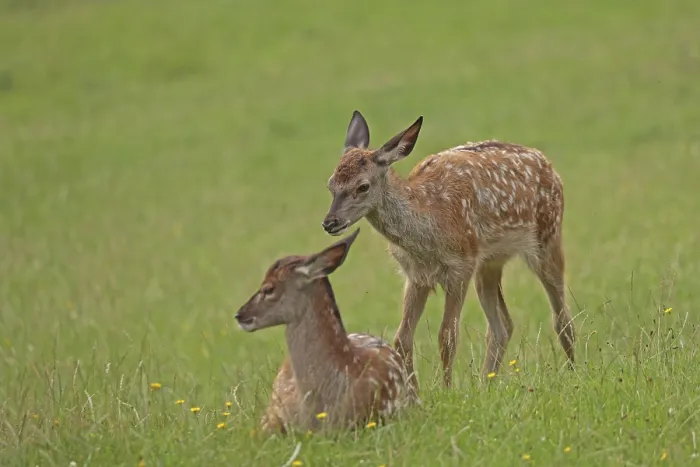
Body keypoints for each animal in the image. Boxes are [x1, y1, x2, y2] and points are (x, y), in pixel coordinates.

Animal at [321, 110, 575, 392]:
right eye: (331, 184)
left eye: (362, 186)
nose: (330, 222)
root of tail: (550, 167)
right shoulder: (416, 276)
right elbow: (402, 338)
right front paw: (413, 391)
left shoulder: (459, 267)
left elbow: (447, 336)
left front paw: (447, 389)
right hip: (489, 264)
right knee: (503, 326)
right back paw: (485, 385)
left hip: (547, 238)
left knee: (562, 317)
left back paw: (574, 373)